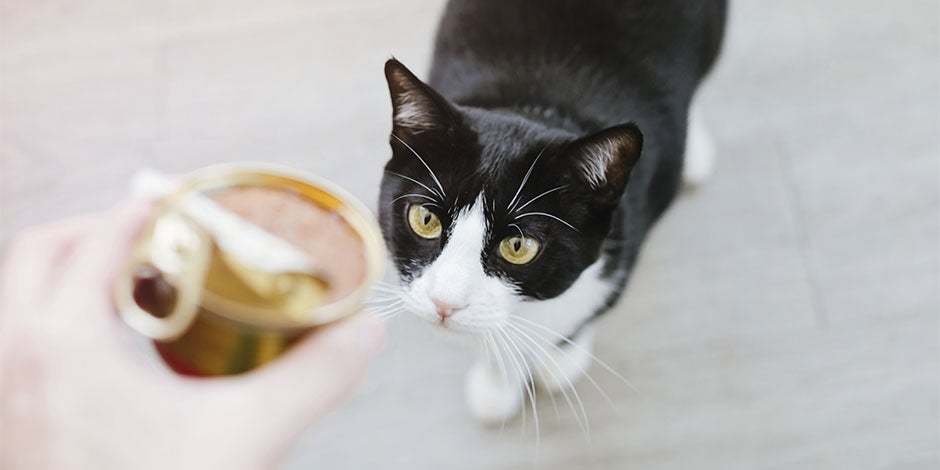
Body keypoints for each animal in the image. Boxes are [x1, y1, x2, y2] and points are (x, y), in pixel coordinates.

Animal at [376, 0, 728, 424]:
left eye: (518, 246)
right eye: (425, 219)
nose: (446, 303)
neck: (535, 108)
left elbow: (586, 308)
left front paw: (560, 360)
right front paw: (497, 384)